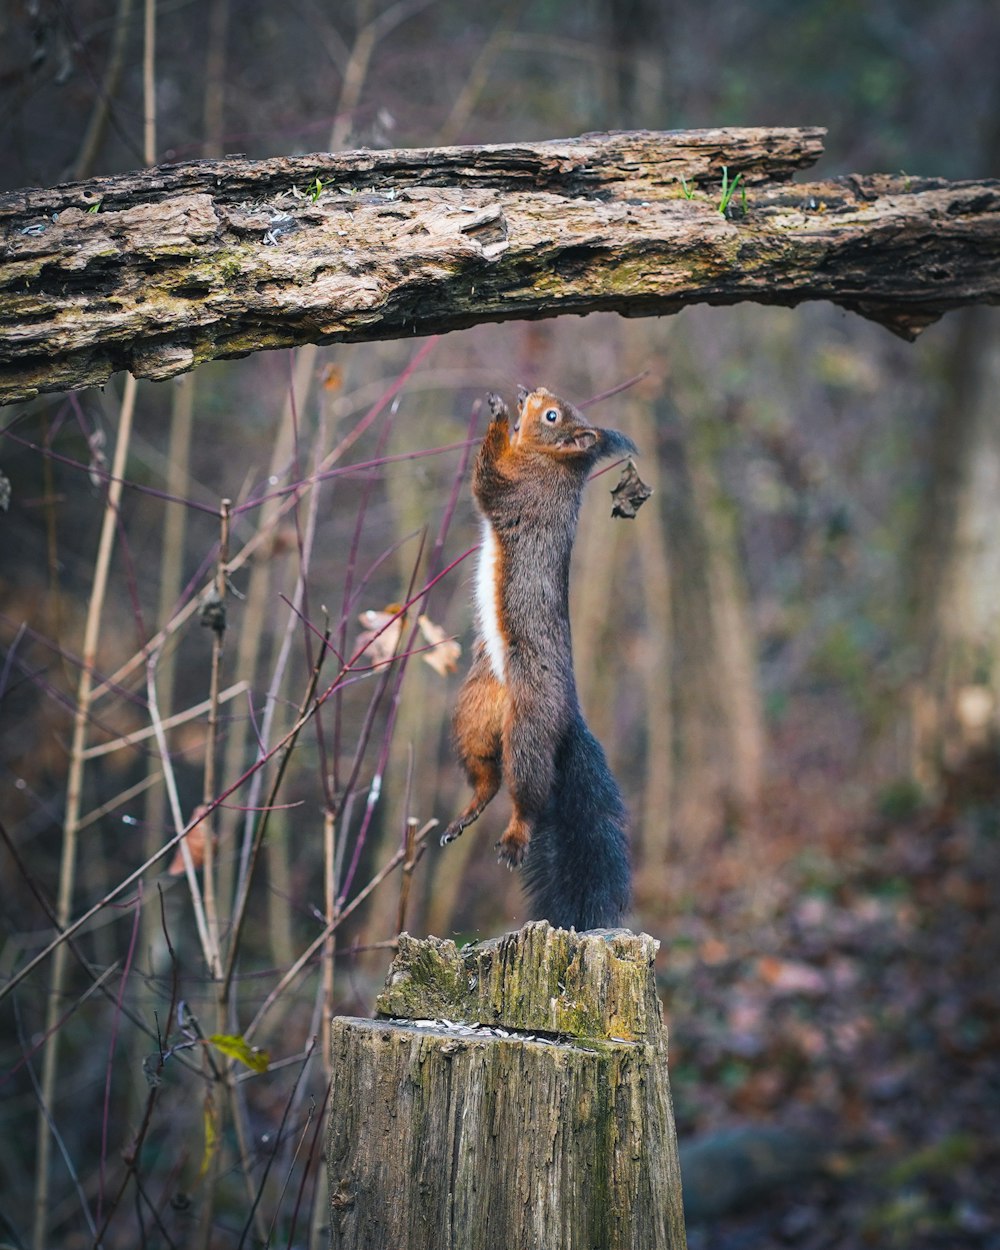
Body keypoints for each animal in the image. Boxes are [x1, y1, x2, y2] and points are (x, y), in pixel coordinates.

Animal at [442, 385, 637, 935]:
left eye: (551, 416)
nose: (529, 392)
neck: (550, 463)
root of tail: (568, 715)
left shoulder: (517, 491)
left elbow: (486, 481)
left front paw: (498, 416)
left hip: (528, 732)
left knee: (528, 793)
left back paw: (515, 838)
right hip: (472, 715)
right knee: (487, 779)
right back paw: (466, 814)